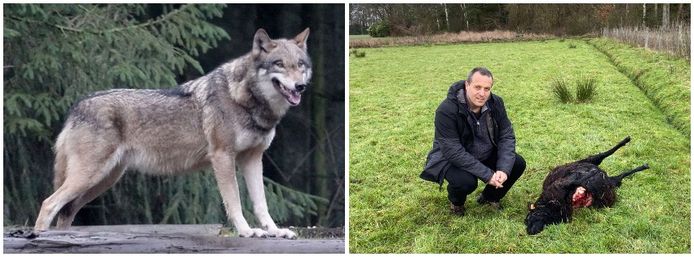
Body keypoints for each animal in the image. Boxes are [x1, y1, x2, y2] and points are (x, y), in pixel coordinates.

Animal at [34, 28, 312, 238]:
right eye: (279, 64)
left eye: (300, 65)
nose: (300, 86)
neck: (245, 99)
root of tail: (76, 107)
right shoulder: (223, 156)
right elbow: (234, 201)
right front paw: (246, 231)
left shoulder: (253, 159)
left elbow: (261, 203)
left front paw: (275, 231)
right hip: (90, 176)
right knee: (48, 204)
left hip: (103, 180)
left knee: (66, 211)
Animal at [422, 67, 524, 215]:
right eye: (478, 87)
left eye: (486, 88)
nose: (482, 94)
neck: (473, 108)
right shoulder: (445, 115)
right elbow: (454, 148)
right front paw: (492, 178)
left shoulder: (500, 108)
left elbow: (506, 135)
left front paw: (501, 177)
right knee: (464, 181)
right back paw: (457, 208)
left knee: (517, 163)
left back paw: (489, 199)